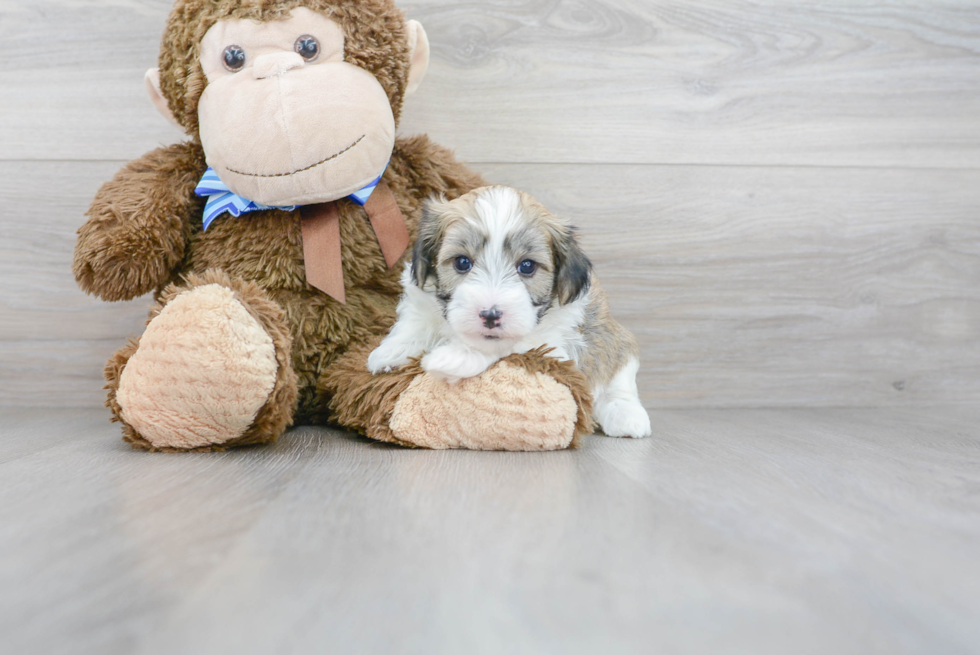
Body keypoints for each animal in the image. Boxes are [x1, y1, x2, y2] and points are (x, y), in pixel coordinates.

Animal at [368, 187, 652, 438]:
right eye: (462, 262)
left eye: (527, 266)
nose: (490, 315)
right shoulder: (422, 298)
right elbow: (415, 323)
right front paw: (391, 351)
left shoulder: (551, 344)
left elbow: (503, 345)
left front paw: (454, 357)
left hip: (617, 341)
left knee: (619, 377)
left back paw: (627, 416)